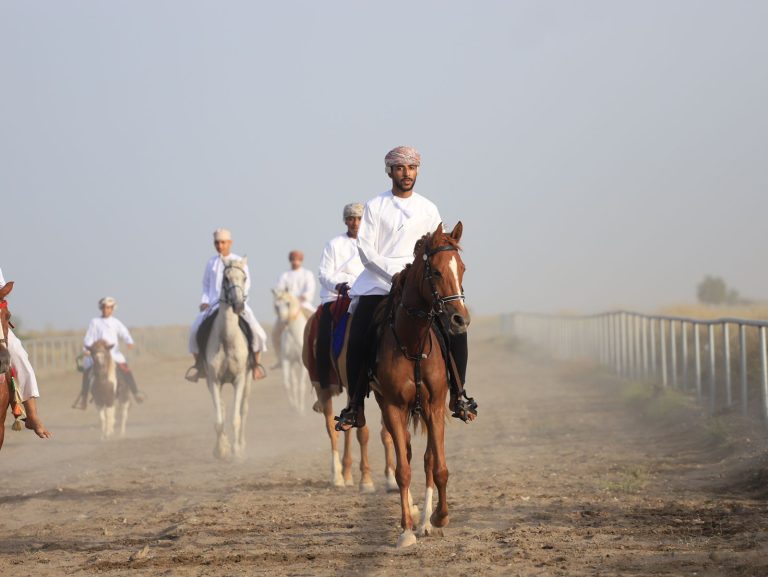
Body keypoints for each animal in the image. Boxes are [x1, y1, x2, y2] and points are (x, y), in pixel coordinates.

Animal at [301, 301, 376, 492]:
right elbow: (362, 432)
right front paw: (366, 481)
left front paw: (391, 479)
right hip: (322, 384)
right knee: (331, 428)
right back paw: (337, 477)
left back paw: (347, 475)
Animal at [372, 221, 469, 548]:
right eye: (436, 272)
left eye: (462, 268)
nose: (460, 319)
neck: (413, 343)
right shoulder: (393, 407)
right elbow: (403, 469)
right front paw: (406, 530)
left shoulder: (435, 406)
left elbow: (438, 467)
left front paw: (439, 517)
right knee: (409, 453)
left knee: (427, 459)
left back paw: (426, 521)